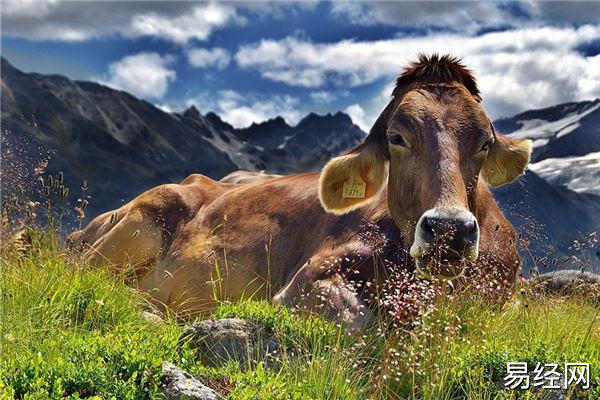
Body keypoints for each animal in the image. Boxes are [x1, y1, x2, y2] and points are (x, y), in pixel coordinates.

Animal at [68, 56, 532, 332]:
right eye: (397, 137)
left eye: (484, 142)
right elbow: (360, 322)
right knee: (93, 278)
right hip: (144, 217)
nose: (448, 231)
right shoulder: (306, 280)